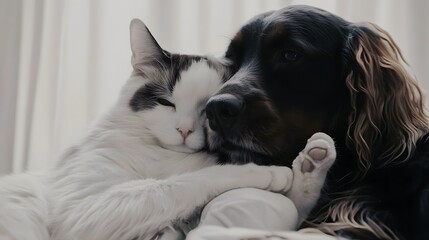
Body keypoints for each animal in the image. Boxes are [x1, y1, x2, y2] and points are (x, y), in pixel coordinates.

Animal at [0, 19, 334, 240]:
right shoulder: (82, 213)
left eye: (206, 109)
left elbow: (295, 204)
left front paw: (311, 162)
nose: (184, 130)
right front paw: (265, 172)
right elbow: (182, 183)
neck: (167, 157)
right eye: (165, 102)